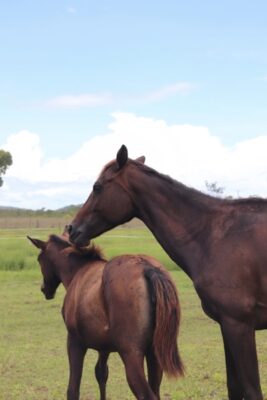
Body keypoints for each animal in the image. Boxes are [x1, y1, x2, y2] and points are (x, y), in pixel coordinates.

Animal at [28, 234, 184, 400]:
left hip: (131, 356)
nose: (44, 289)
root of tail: (148, 268)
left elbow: (73, 389)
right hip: (154, 354)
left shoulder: (75, 342)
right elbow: (101, 374)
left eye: (39, 259)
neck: (78, 272)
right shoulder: (104, 347)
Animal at [68, 145, 267, 400]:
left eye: (97, 186)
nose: (72, 229)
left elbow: (251, 390)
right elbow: (235, 387)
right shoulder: (227, 325)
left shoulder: (239, 325)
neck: (213, 236)